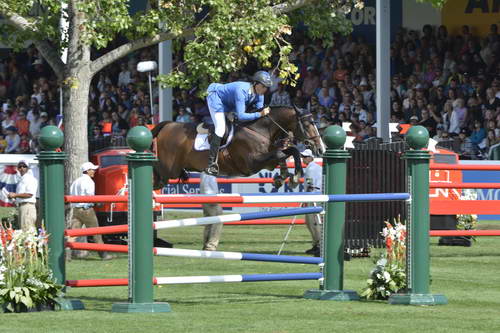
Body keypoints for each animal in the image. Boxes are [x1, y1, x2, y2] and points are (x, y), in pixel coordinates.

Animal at [150, 106, 326, 189]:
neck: (259, 130)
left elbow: (288, 152)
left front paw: (283, 177)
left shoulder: (268, 161)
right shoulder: (252, 163)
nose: (321, 149)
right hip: (168, 170)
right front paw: (294, 177)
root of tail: (168, 125)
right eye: (307, 124)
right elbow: (285, 152)